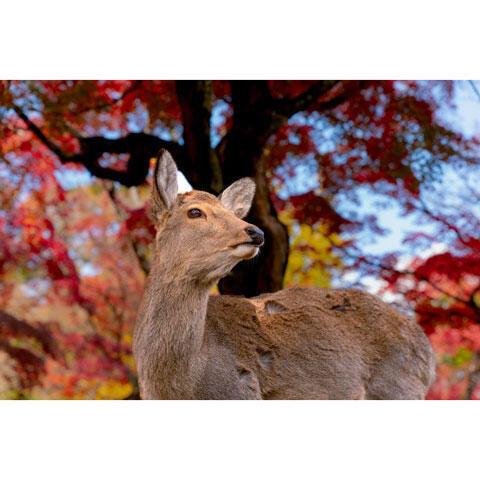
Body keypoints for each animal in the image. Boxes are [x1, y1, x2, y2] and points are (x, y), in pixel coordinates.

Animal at [133, 152, 436, 400]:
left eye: (232, 213)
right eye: (195, 212)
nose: (255, 232)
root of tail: (427, 351)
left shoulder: (240, 392)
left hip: (398, 387)